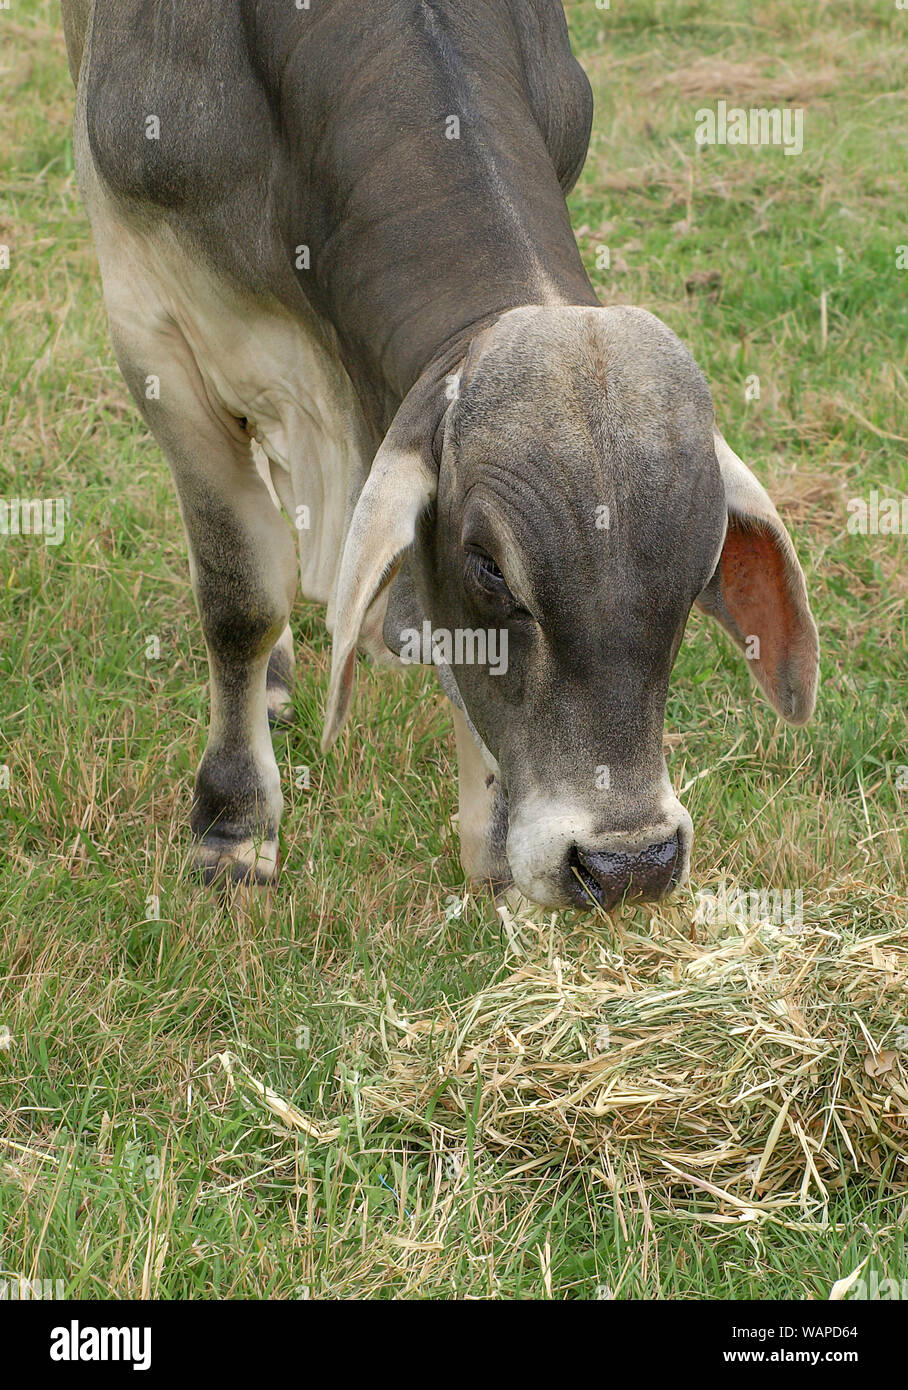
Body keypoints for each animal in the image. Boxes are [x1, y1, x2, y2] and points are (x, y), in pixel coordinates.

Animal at [60, 2, 817, 911]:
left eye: (704, 564)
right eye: (490, 568)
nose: (628, 864)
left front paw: (491, 832)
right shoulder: (156, 333)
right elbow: (240, 603)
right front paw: (233, 822)